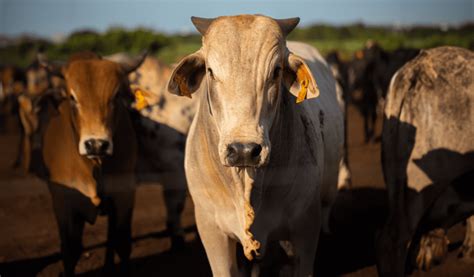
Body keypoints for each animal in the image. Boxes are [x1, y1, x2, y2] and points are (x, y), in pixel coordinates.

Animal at [38, 50, 145, 274]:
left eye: (116, 96)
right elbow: (70, 252)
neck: (95, 166)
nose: (96, 144)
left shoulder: (124, 195)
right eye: (72, 97)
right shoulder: (64, 202)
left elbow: (121, 243)